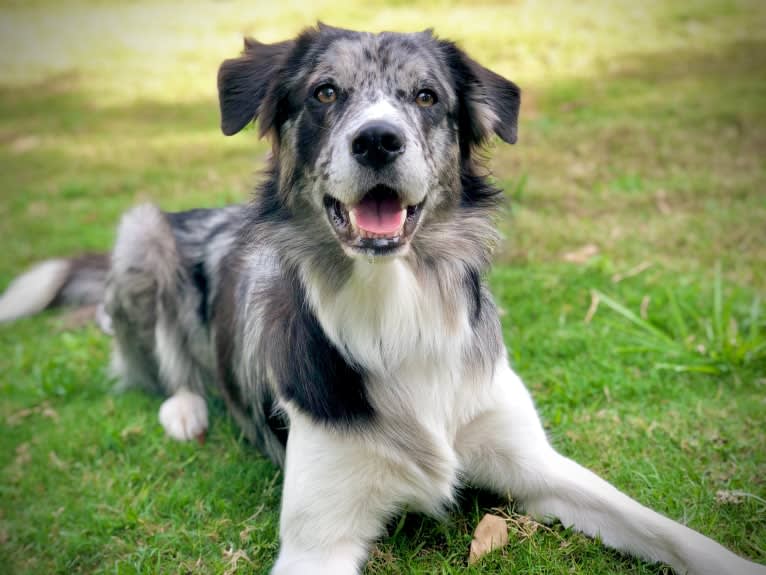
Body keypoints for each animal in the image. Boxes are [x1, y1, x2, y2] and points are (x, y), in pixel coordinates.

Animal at [1, 22, 766, 575]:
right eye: (324, 93)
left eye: (426, 97)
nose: (377, 139)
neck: (396, 305)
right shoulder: (318, 541)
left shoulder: (535, 464)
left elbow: (667, 530)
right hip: (142, 235)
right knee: (157, 362)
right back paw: (186, 408)